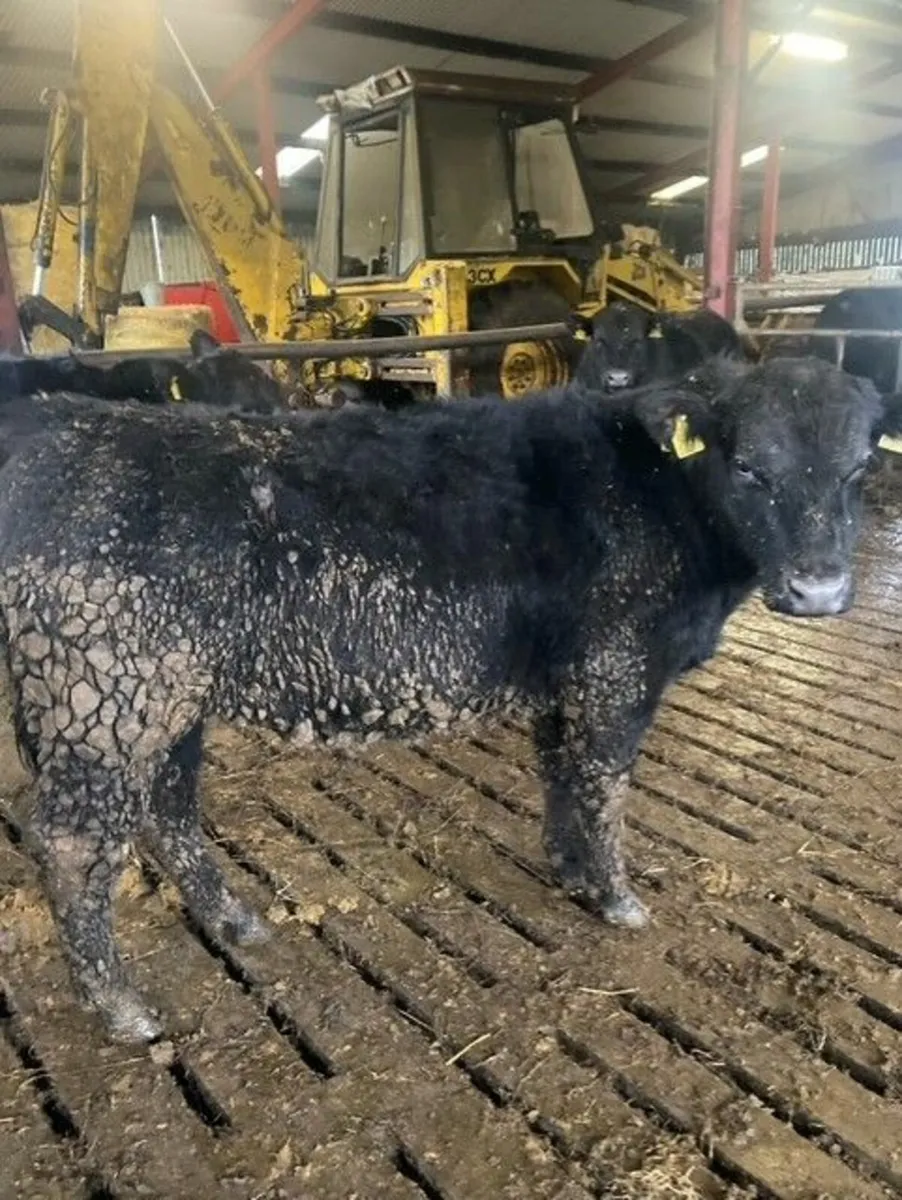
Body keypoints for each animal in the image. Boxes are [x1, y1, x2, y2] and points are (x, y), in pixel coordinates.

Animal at [0, 354, 896, 1043]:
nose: (819, 589)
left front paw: (568, 868)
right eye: (749, 467)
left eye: (858, 471)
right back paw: (122, 1010)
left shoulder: (565, 678)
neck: (662, 501)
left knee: (169, 806)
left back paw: (235, 922)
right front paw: (617, 898)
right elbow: (604, 784)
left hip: (159, 699)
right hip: (106, 693)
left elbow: (560, 771)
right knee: (74, 843)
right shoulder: (617, 670)